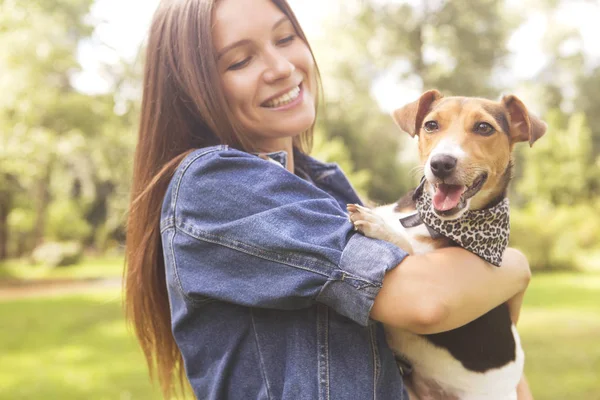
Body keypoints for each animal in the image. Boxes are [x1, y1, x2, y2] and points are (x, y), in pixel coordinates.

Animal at [346, 90, 548, 400]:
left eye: (484, 127)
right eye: (431, 125)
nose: (441, 163)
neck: (427, 218)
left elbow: (408, 247)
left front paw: (377, 224)